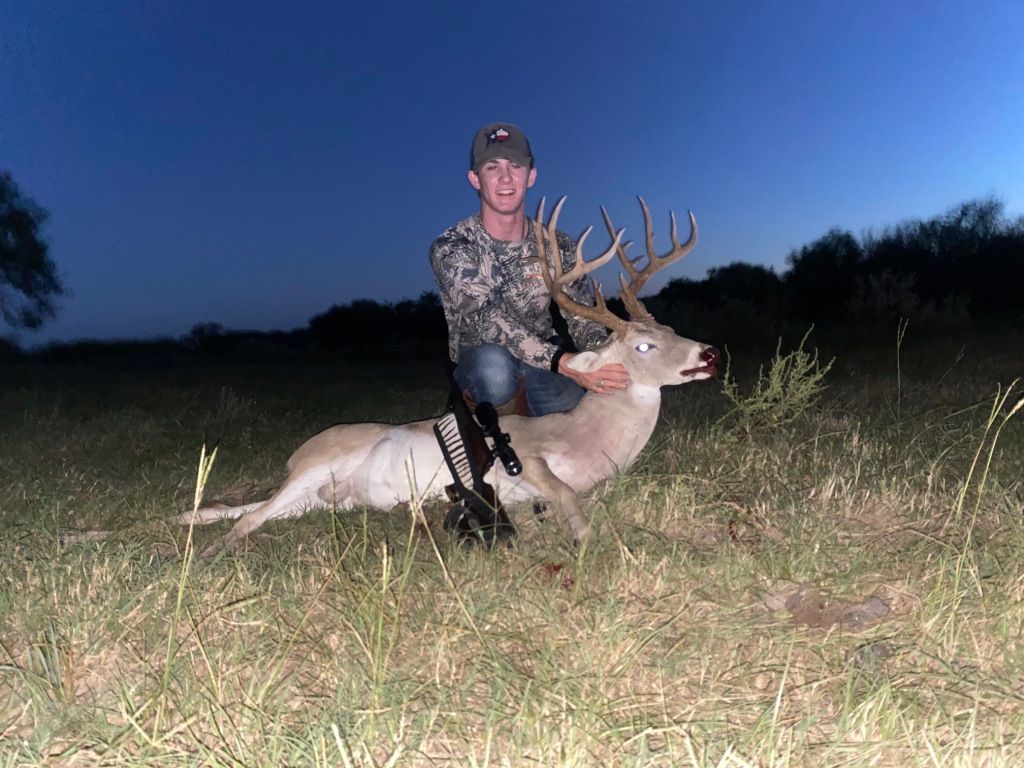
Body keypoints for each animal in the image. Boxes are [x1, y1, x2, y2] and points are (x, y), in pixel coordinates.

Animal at [179, 197, 719, 556]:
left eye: (670, 329)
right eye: (643, 345)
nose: (710, 353)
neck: (584, 438)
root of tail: (298, 453)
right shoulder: (525, 458)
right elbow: (565, 494)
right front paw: (587, 540)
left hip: (322, 500)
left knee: (254, 507)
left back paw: (189, 515)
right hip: (319, 466)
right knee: (252, 518)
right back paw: (204, 549)